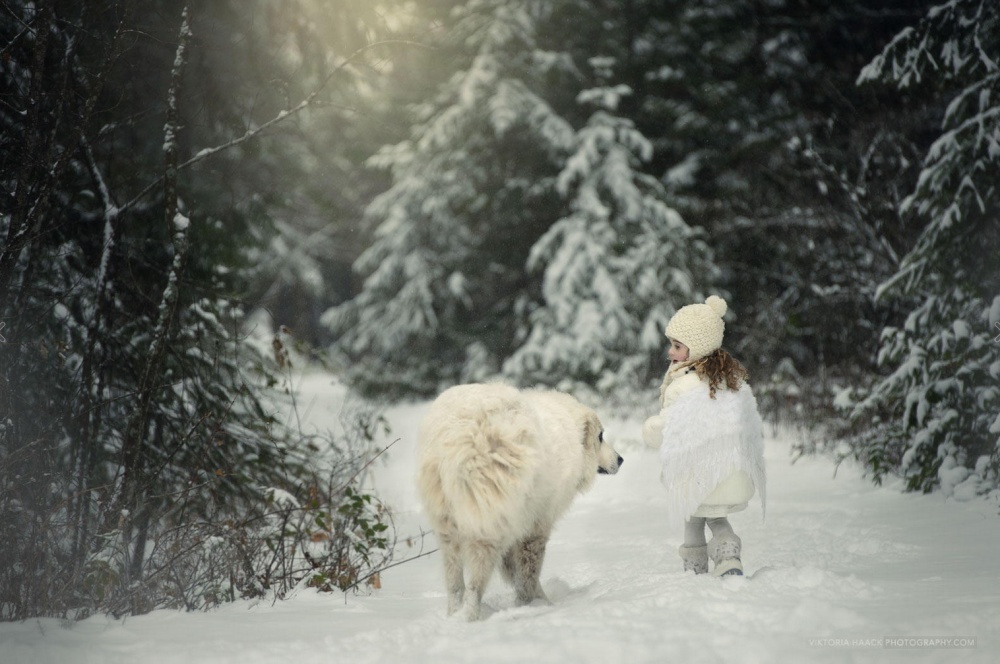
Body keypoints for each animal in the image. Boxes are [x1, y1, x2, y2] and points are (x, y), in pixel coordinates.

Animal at [412, 382, 616, 620]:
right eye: (600, 437)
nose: (620, 459)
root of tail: (460, 426)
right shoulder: (536, 525)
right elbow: (528, 572)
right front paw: (536, 604)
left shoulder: (516, 522)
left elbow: (514, 570)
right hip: (487, 524)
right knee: (475, 584)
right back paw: (470, 616)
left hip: (447, 524)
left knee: (454, 584)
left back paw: (454, 615)